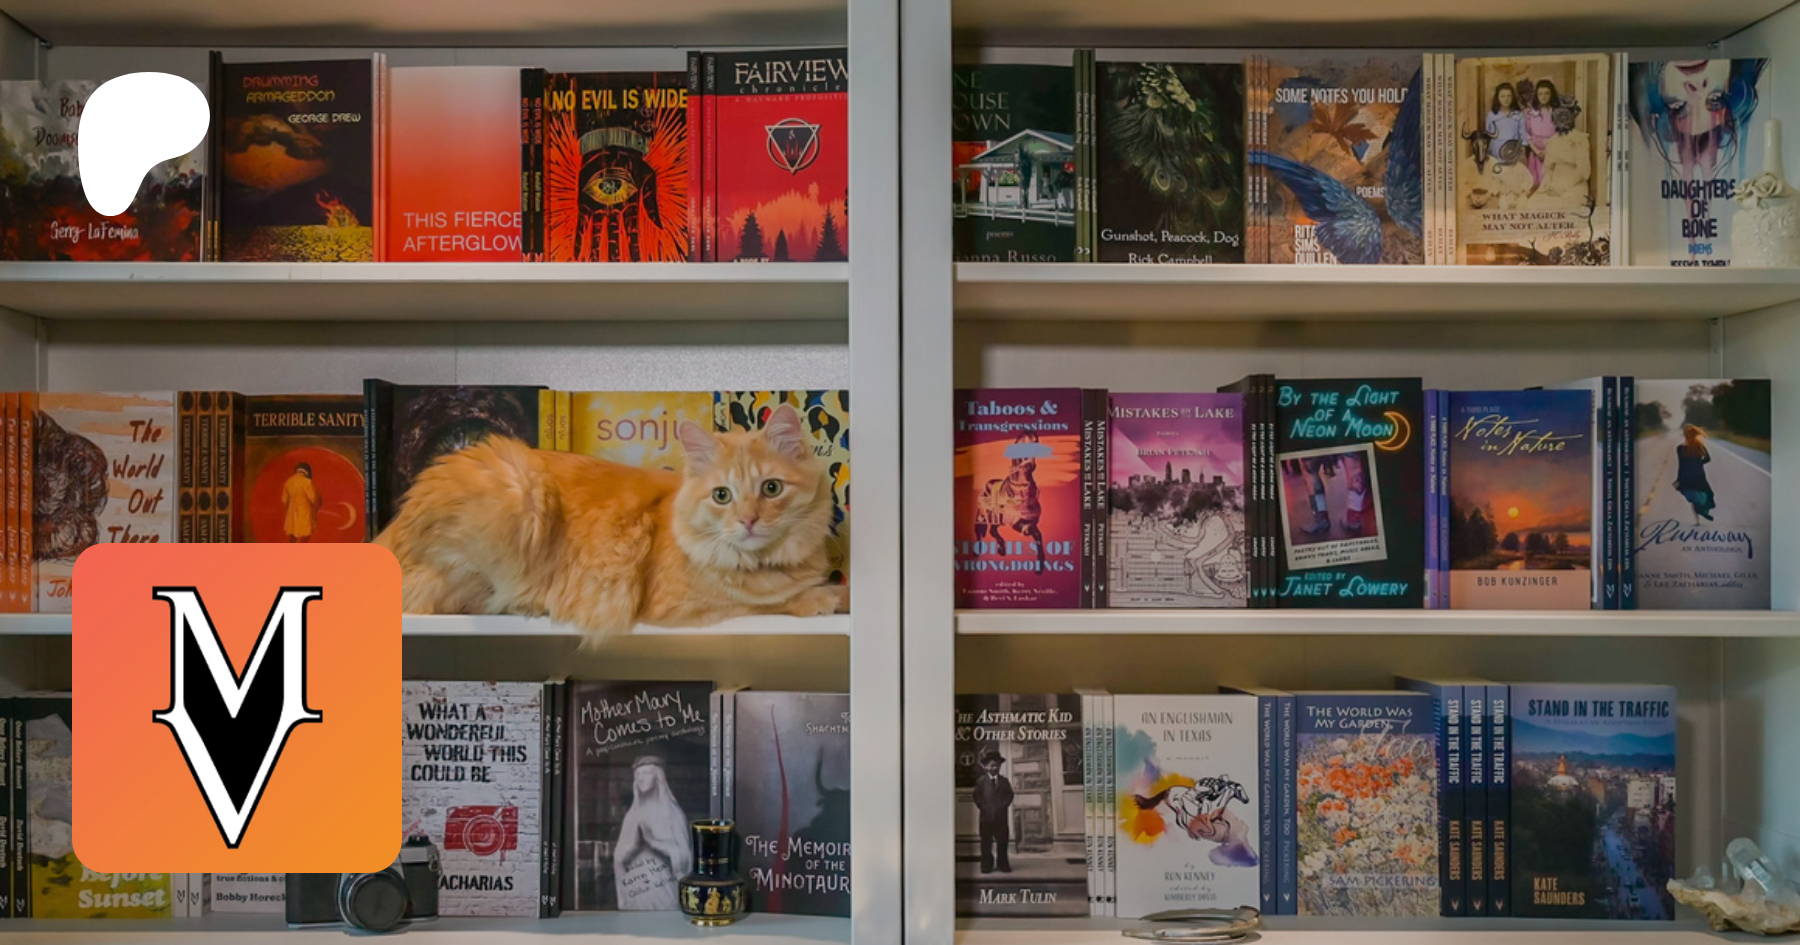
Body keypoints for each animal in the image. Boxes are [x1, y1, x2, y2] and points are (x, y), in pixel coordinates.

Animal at [374, 402, 845, 636]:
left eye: (771, 488)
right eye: (722, 495)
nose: (748, 521)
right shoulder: (681, 605)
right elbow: (763, 602)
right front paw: (821, 598)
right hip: (519, 492)